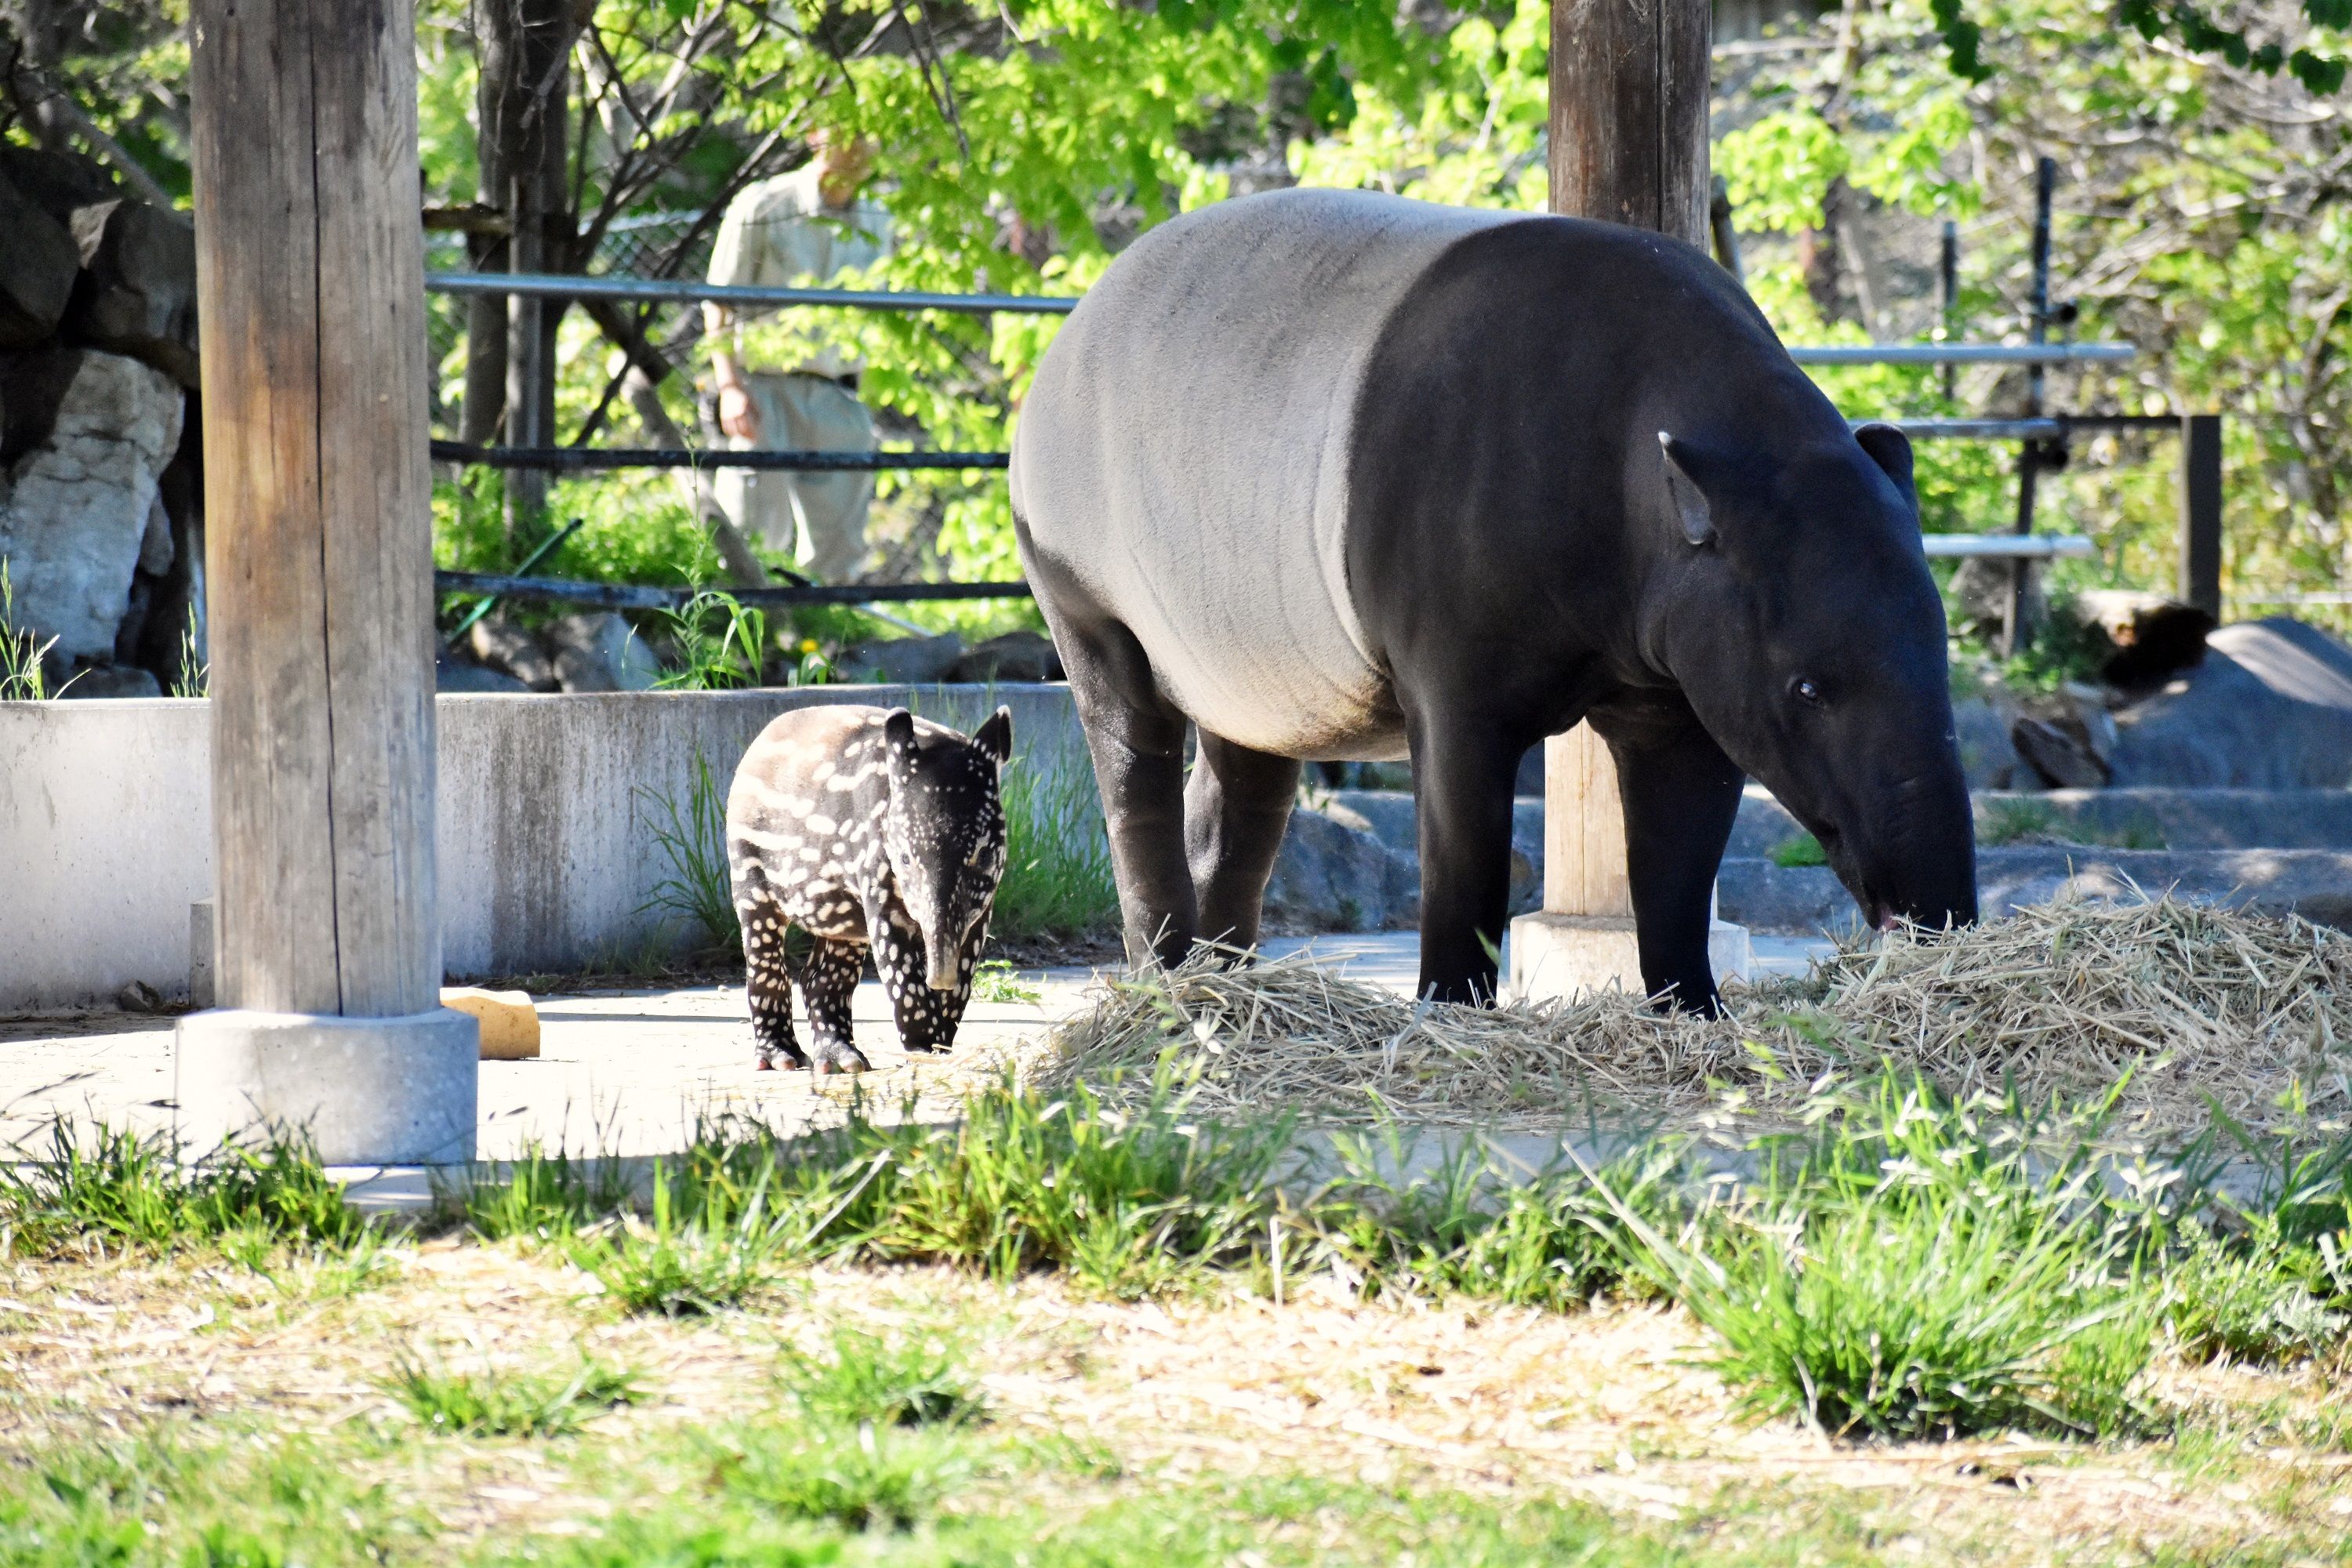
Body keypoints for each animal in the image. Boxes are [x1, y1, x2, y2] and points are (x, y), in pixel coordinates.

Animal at [720, 705, 1007, 1072]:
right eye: (905, 857)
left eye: (983, 853)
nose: (939, 977)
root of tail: (758, 742)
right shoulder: (879, 887)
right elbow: (904, 978)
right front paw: (923, 1048)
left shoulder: (981, 909)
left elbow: (963, 981)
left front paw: (941, 1044)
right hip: (749, 868)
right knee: (763, 955)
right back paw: (781, 1056)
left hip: (843, 912)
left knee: (821, 976)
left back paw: (841, 1060)